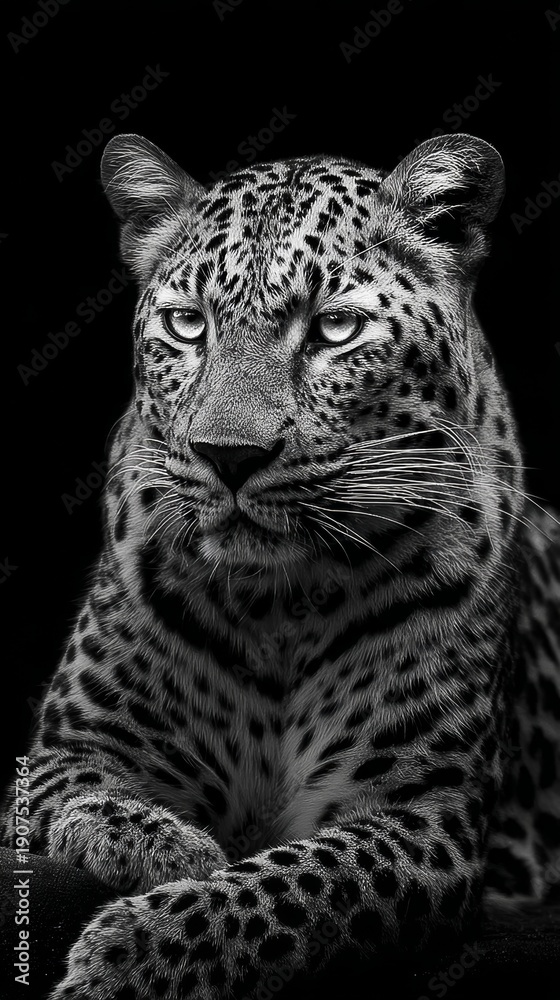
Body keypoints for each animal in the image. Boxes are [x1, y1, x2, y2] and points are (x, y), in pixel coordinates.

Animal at [1, 131, 560, 1000]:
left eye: (334, 329)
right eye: (187, 325)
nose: (227, 457)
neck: (276, 603)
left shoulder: (424, 815)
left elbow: (292, 885)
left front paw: (124, 958)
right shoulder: (67, 752)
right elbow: (88, 801)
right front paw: (171, 847)